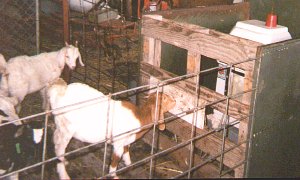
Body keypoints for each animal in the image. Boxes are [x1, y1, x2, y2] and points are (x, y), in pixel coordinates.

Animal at [47, 78, 176, 179]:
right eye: (164, 99)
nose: (175, 100)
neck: (140, 118)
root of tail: (57, 93)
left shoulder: (126, 141)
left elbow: (126, 152)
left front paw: (129, 164)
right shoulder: (118, 143)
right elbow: (114, 162)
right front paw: (114, 176)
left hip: (61, 125)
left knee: (55, 138)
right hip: (66, 128)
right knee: (59, 146)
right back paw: (64, 174)